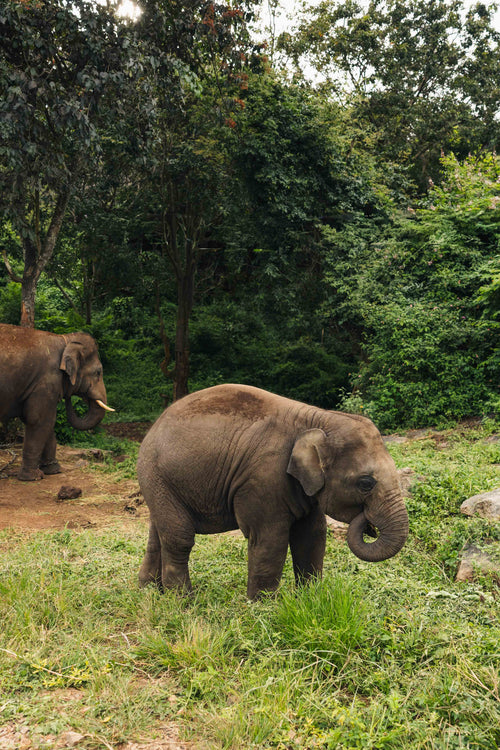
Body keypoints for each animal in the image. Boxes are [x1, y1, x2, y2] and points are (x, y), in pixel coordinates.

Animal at [0, 323, 114, 481]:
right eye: (98, 372)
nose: (69, 395)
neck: (65, 340)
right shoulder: (46, 381)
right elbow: (39, 420)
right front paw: (33, 477)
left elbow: (47, 422)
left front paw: (53, 470)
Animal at [137, 384, 408, 600]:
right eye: (366, 483)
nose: (368, 523)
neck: (319, 419)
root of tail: (153, 428)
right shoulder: (263, 479)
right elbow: (270, 538)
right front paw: (263, 607)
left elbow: (312, 534)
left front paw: (309, 598)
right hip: (159, 477)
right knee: (180, 537)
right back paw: (183, 601)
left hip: (159, 483)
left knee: (158, 534)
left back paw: (149, 591)